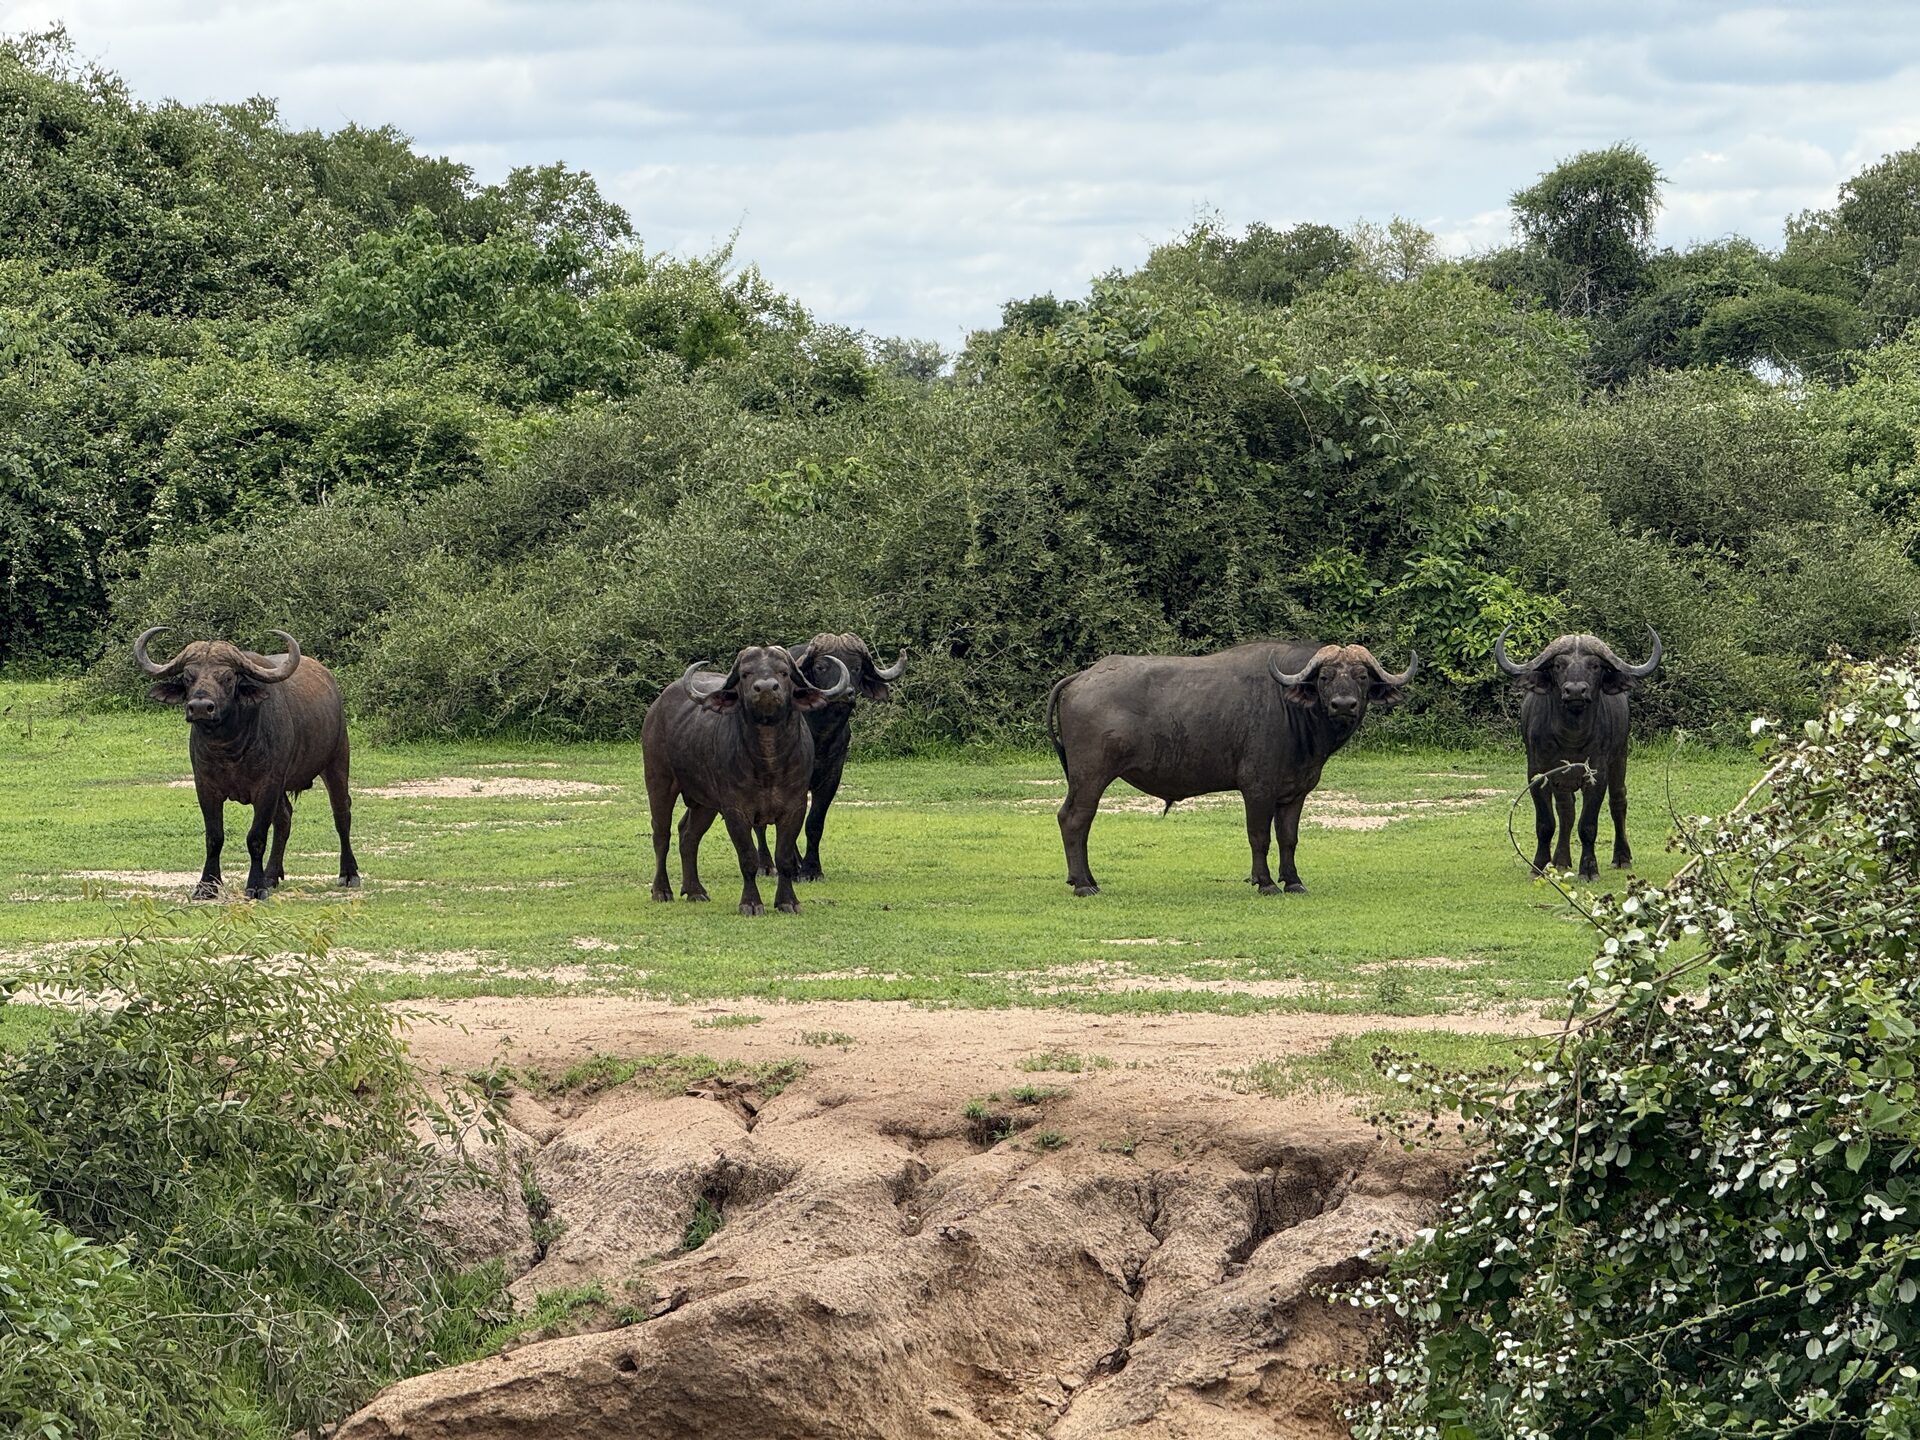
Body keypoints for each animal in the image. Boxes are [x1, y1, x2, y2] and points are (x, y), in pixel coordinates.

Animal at [135, 627, 358, 900]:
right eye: (188, 677)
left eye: (228, 677)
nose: (200, 707)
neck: (230, 748)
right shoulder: (205, 787)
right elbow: (214, 837)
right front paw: (207, 886)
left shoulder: (267, 786)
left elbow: (256, 837)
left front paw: (255, 886)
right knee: (285, 818)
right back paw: (272, 875)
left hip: (337, 761)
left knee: (341, 814)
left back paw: (349, 873)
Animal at [643, 645, 853, 915]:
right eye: (745, 674)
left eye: (784, 672)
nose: (766, 688)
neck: (769, 762)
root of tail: (657, 707)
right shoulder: (735, 811)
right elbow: (748, 858)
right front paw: (751, 903)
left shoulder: (794, 808)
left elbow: (784, 858)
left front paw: (788, 901)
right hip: (659, 782)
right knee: (661, 834)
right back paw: (661, 890)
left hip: (704, 803)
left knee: (688, 835)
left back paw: (695, 890)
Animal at [752, 633, 907, 881]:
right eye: (821, 667)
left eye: (856, 667)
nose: (846, 694)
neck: (820, 733)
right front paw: (793, 868)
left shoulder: (833, 774)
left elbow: (814, 822)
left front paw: (811, 869)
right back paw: (766, 865)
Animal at [1046, 641, 1417, 897]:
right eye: (1324, 677)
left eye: (1361, 677)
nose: (1343, 705)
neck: (1292, 712)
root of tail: (1082, 677)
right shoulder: (1257, 788)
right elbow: (1259, 836)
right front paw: (1265, 883)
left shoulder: (1295, 792)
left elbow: (1289, 838)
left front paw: (1293, 881)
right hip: (1090, 776)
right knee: (1074, 819)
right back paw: (1083, 885)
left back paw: (1085, 879)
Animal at [1494, 625, 1662, 879]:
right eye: (1558, 665)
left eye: (1595, 665)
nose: (1575, 691)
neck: (1570, 736)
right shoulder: (1537, 774)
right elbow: (1546, 824)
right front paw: (1539, 866)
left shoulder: (1597, 774)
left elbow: (1588, 825)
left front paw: (1589, 869)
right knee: (1566, 811)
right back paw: (1561, 861)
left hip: (1620, 757)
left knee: (1618, 802)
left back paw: (1621, 857)